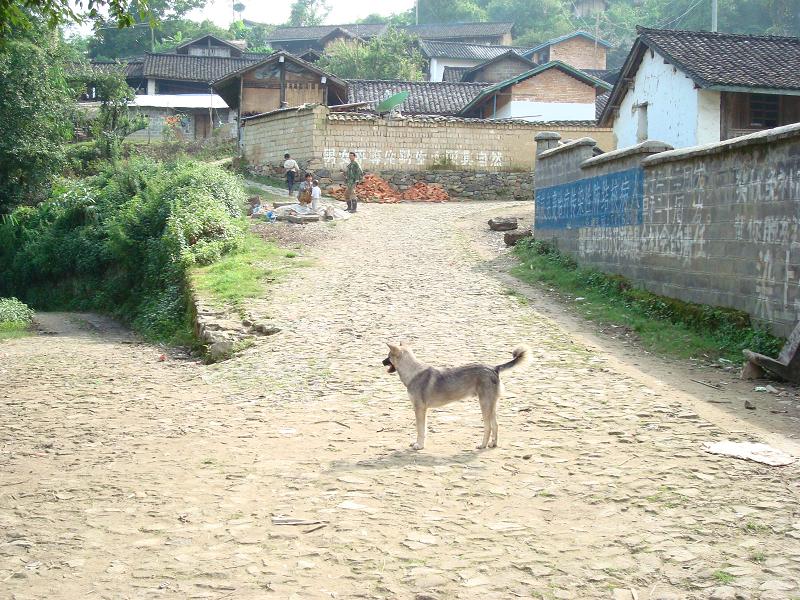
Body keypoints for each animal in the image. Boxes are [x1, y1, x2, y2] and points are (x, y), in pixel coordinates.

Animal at [382, 342, 528, 450]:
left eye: (388, 356)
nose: (381, 362)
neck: (413, 372)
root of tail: (494, 368)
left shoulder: (419, 409)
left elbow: (420, 429)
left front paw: (419, 445)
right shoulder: (423, 410)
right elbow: (423, 429)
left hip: (484, 405)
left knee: (488, 427)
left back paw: (482, 445)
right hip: (491, 406)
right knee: (496, 425)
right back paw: (493, 444)